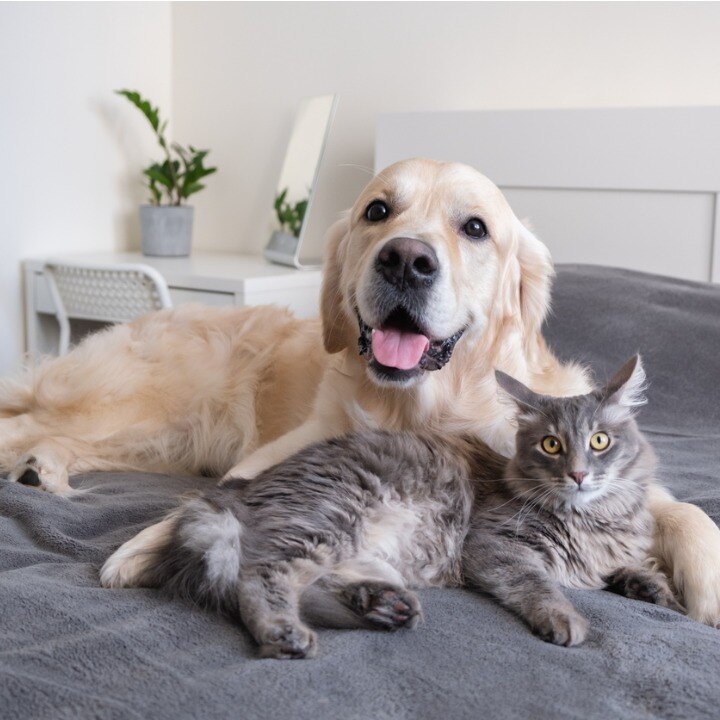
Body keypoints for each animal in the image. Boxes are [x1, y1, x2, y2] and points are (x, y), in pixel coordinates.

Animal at [1, 158, 720, 624]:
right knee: (30, 423)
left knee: (54, 440)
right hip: (132, 408)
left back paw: (41, 472)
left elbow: (688, 513)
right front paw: (137, 550)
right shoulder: (289, 453)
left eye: (475, 227)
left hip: (156, 438)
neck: (422, 407)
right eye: (379, 210)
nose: (405, 258)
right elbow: (226, 494)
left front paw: (704, 596)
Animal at [101, 354, 680, 660]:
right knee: (258, 578)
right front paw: (566, 619)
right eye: (552, 446)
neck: (592, 519)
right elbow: (540, 585)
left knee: (316, 585)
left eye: (600, 441)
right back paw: (287, 635)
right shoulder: (495, 546)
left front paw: (657, 591)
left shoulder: (609, 551)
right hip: (329, 517)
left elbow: (634, 568)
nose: (579, 474)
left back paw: (381, 606)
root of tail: (237, 489)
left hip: (358, 549)